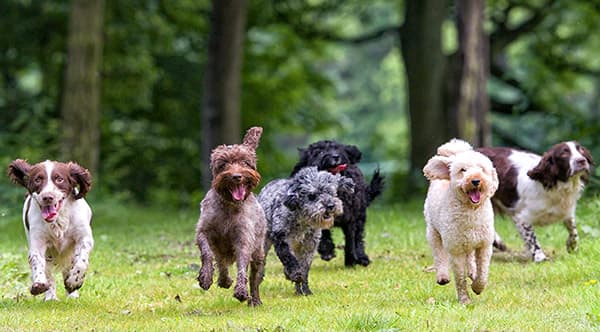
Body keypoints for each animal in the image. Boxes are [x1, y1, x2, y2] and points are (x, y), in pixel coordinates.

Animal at [7, 159, 94, 300]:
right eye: (37, 179)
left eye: (59, 179)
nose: (47, 197)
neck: (58, 220)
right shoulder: (38, 243)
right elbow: (37, 261)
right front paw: (39, 284)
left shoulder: (84, 238)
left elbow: (81, 262)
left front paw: (74, 281)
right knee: (49, 273)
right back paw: (51, 297)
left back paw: (72, 294)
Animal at [196, 126, 266, 306]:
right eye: (223, 164)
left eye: (245, 162)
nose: (236, 176)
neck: (229, 205)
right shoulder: (203, 231)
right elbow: (207, 253)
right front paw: (205, 278)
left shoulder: (244, 238)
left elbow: (242, 264)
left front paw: (241, 291)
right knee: (221, 262)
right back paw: (224, 280)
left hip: (259, 252)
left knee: (254, 277)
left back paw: (255, 300)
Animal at [290, 140, 384, 268]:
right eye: (320, 152)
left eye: (338, 149)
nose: (335, 156)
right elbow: (324, 234)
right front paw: (327, 251)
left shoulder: (351, 219)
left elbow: (351, 240)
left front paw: (351, 260)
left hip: (360, 216)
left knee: (358, 239)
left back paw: (362, 258)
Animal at [424, 139, 500, 304]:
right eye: (463, 170)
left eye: (482, 169)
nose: (476, 180)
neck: (471, 210)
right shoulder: (456, 248)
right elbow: (459, 278)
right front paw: (465, 300)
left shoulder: (484, 245)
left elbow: (483, 273)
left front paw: (477, 287)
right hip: (433, 231)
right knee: (439, 254)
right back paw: (443, 276)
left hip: (470, 242)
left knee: (470, 258)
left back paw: (472, 272)